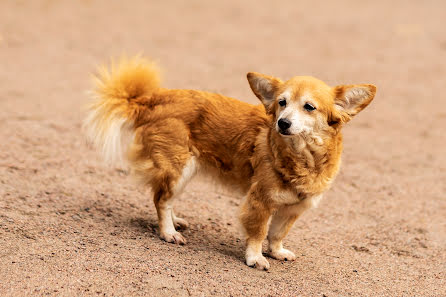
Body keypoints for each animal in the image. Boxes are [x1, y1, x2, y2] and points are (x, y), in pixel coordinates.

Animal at [84, 56, 376, 270]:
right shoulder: (261, 201)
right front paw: (256, 258)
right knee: (161, 199)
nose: (282, 123)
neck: (302, 156)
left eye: (309, 107)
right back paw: (168, 231)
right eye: (282, 103)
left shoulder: (294, 208)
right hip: (179, 168)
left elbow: (277, 234)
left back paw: (175, 221)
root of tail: (154, 99)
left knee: (163, 196)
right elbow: (259, 232)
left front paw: (277, 252)